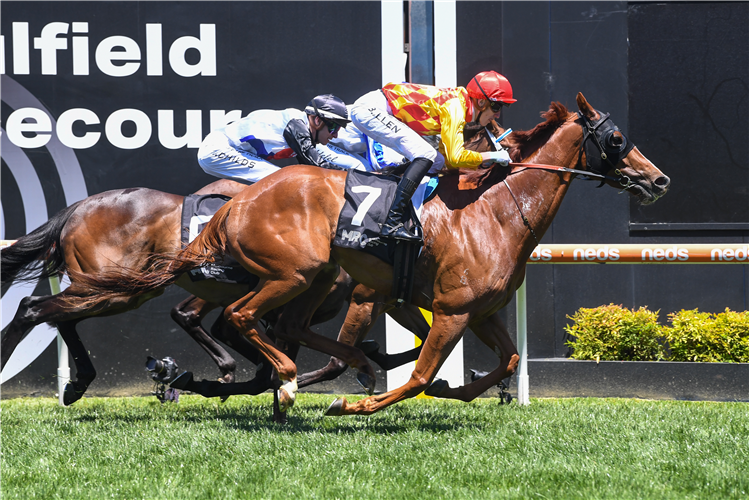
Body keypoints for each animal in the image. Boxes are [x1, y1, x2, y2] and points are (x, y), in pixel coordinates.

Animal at [67, 94, 668, 414]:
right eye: (616, 138)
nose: (658, 179)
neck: (493, 211)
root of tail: (234, 205)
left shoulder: (478, 310)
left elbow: (508, 359)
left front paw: (465, 390)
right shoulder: (439, 306)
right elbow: (419, 372)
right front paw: (353, 401)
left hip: (305, 282)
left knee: (260, 326)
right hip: (293, 275)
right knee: (236, 319)